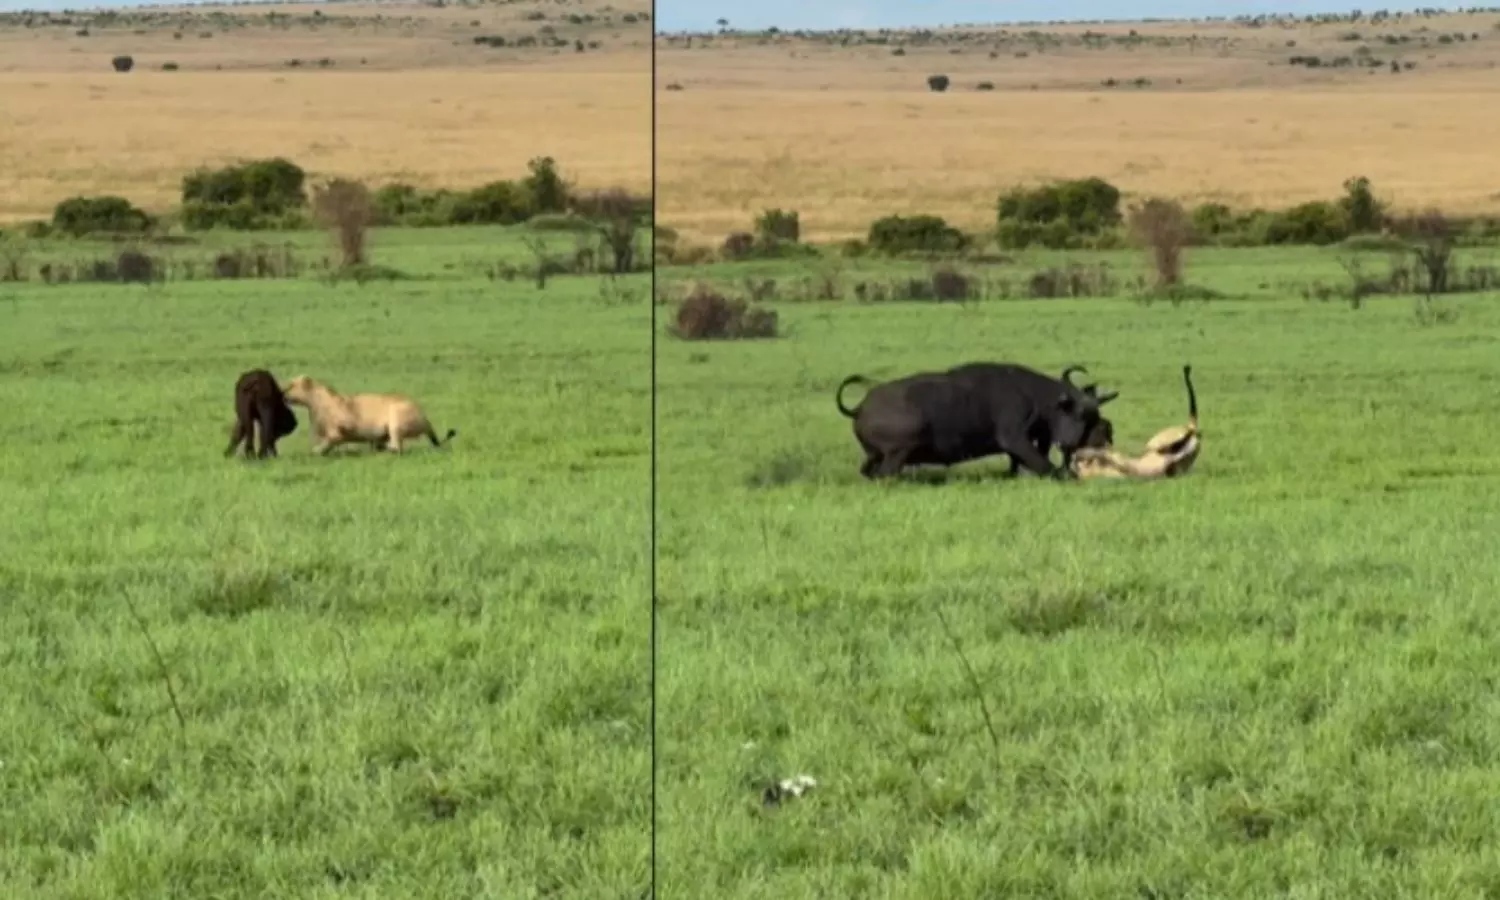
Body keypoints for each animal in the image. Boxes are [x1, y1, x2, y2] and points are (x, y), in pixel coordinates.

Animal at [279, 374, 456, 456]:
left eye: (291, 385)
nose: (282, 392)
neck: (313, 403)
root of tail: (425, 418)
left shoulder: (341, 430)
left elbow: (328, 441)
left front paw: (316, 451)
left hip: (396, 417)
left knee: (396, 447)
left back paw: (382, 448)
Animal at [835, 362, 1118, 480]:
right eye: (1081, 414)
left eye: (1096, 414)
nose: (1106, 432)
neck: (1038, 398)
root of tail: (860, 408)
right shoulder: (1015, 438)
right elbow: (1043, 464)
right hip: (897, 454)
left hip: (874, 456)